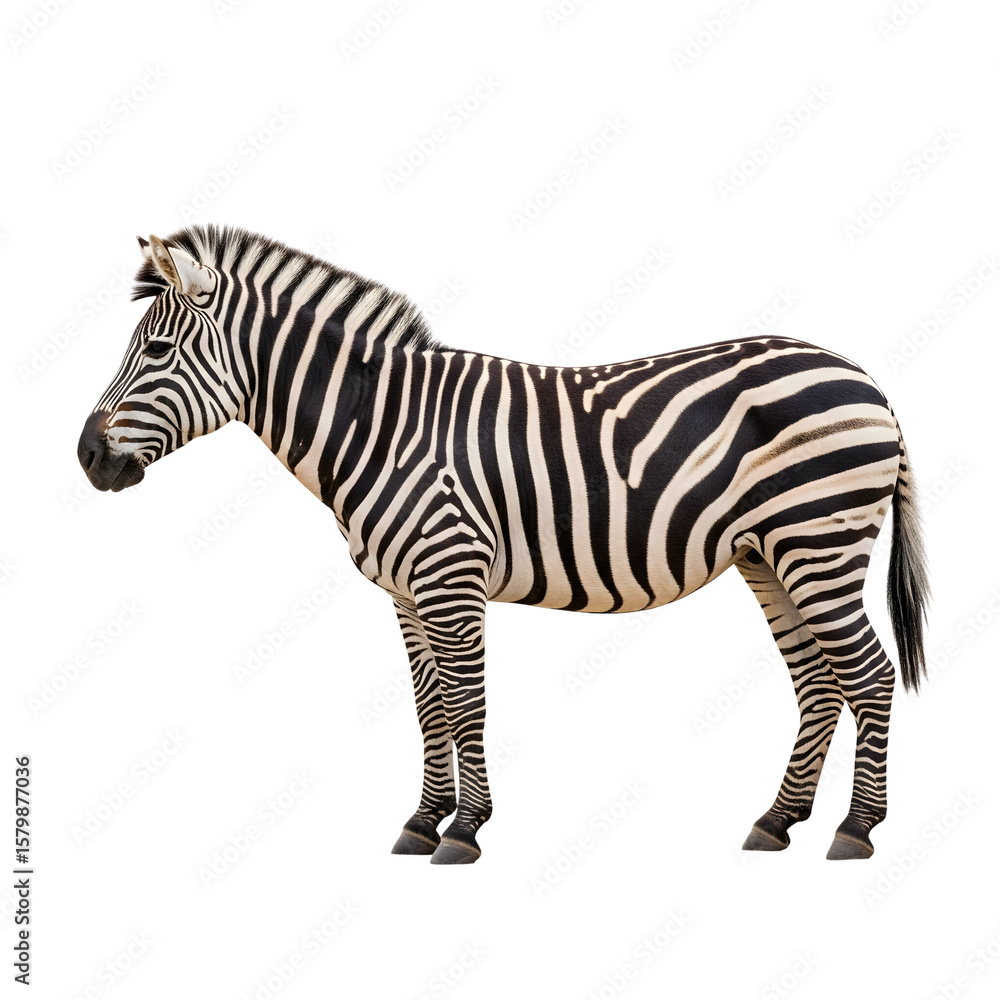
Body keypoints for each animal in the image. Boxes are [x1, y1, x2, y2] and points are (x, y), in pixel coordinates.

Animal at [78, 225, 929, 864]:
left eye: (155, 354)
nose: (86, 457)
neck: (377, 425)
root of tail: (867, 380)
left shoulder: (449, 576)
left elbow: (467, 704)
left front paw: (464, 830)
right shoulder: (406, 592)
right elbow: (429, 709)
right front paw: (422, 821)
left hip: (817, 543)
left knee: (870, 674)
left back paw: (856, 830)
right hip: (767, 555)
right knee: (818, 682)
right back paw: (777, 821)